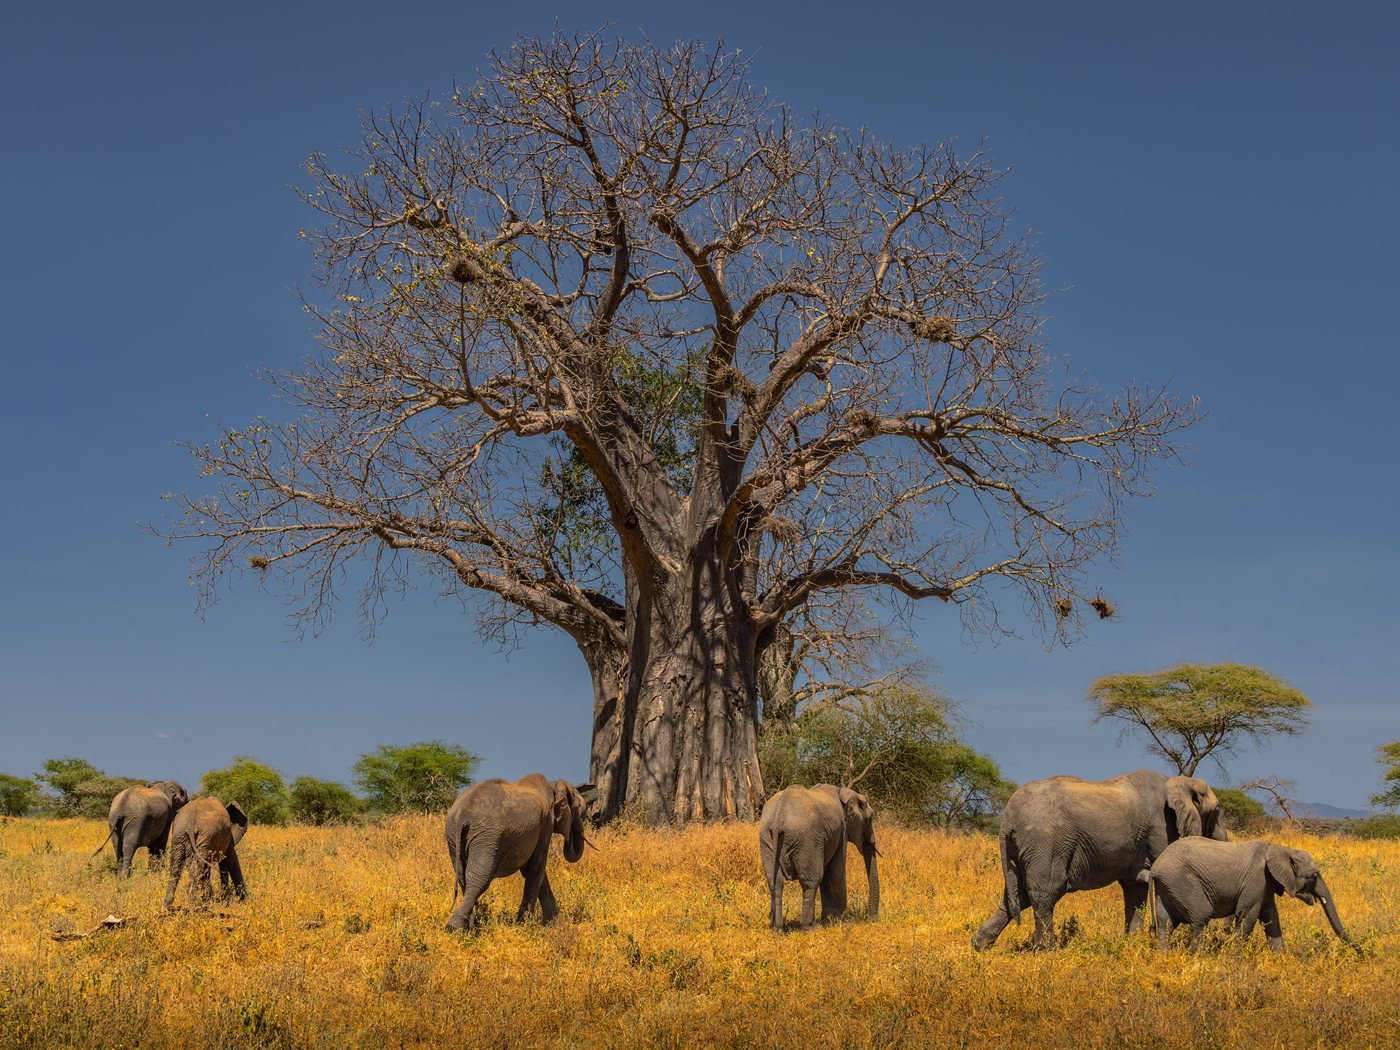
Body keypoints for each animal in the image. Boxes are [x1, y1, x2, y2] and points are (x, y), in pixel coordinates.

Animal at [444, 774, 593, 933]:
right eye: (577, 808)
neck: (553, 785)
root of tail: (462, 816)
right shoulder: (546, 823)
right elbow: (536, 867)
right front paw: (527, 925)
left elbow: (531, 870)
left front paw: (551, 923)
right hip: (487, 838)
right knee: (479, 878)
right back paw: (455, 928)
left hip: (454, 836)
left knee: (463, 878)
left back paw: (470, 928)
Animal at [758, 784, 879, 930]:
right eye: (871, 818)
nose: (873, 919)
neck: (843, 792)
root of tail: (778, 820)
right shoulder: (841, 831)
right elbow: (836, 871)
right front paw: (834, 916)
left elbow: (827, 872)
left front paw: (828, 917)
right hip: (807, 840)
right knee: (811, 880)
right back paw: (810, 928)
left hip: (767, 839)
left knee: (775, 882)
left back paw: (777, 930)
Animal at [972, 769, 1227, 951]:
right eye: (1216, 811)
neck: (1177, 780)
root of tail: (1008, 818)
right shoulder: (1160, 828)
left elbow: (1135, 889)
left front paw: (1132, 944)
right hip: (1046, 843)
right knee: (1044, 892)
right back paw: (1047, 950)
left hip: (1019, 848)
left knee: (1016, 894)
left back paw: (979, 945)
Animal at [1140, 838, 1353, 951]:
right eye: (1314, 876)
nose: (1357, 948)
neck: (1280, 848)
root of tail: (1155, 869)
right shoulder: (1256, 880)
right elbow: (1247, 917)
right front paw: (1233, 958)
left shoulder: (1266, 886)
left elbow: (1271, 918)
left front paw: (1281, 958)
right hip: (1184, 883)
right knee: (1200, 918)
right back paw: (1196, 955)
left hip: (1168, 886)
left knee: (1165, 923)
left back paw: (1164, 955)